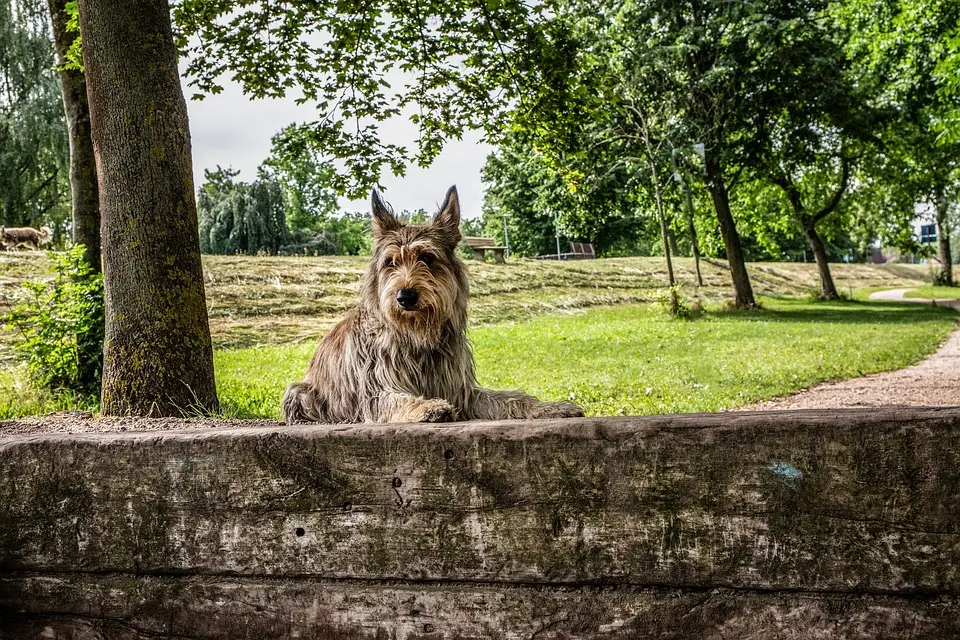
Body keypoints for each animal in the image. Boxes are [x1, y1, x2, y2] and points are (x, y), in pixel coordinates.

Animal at [284, 185, 584, 424]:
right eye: (390, 262)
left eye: (427, 258)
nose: (405, 297)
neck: (418, 339)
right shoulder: (375, 393)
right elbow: (398, 399)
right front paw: (427, 406)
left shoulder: (463, 393)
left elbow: (511, 398)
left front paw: (552, 407)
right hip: (299, 392)